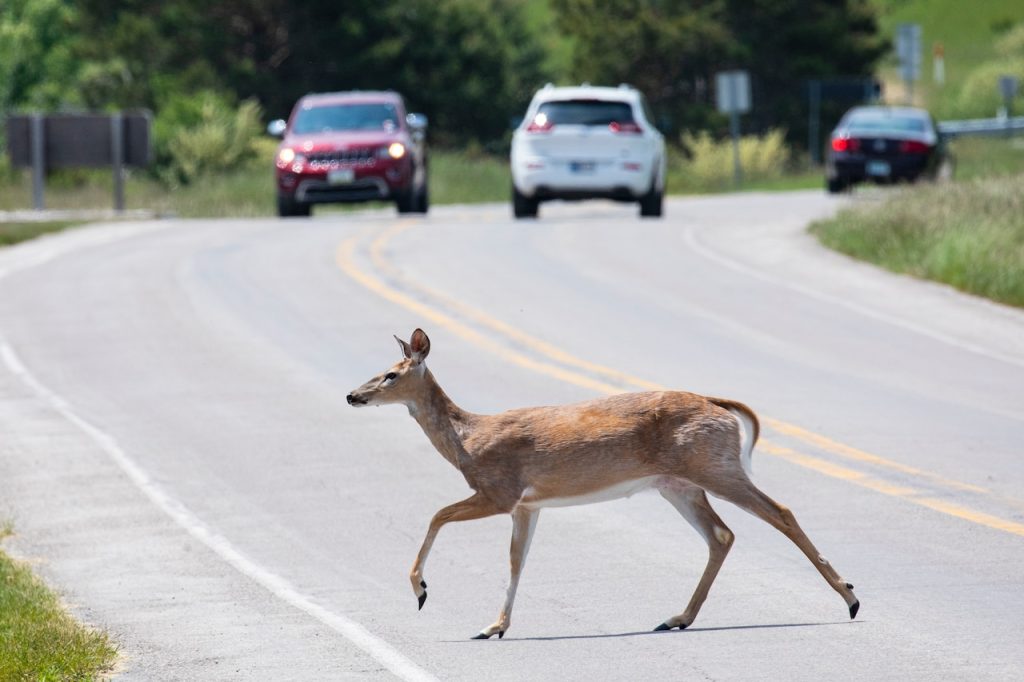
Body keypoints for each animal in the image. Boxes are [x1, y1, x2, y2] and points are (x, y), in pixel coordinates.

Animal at [346, 329, 859, 639]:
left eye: (390, 374)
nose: (353, 394)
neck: (467, 437)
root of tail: (721, 407)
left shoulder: (500, 490)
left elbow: (437, 515)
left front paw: (421, 590)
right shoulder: (528, 505)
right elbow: (516, 561)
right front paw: (495, 626)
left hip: (714, 466)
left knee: (780, 512)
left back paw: (851, 599)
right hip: (678, 483)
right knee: (722, 534)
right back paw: (677, 618)